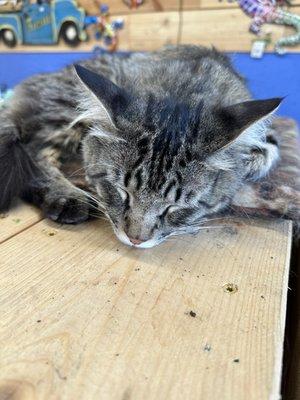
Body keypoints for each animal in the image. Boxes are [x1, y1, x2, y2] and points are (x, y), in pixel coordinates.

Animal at [0, 46, 282, 247]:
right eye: (121, 192)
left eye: (175, 208)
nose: (136, 239)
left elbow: (269, 146)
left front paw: (253, 158)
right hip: (64, 111)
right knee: (34, 150)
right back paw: (66, 195)